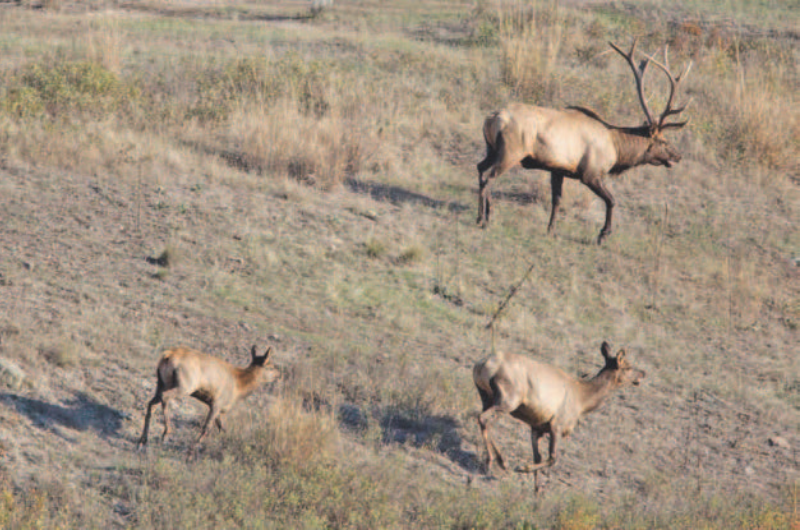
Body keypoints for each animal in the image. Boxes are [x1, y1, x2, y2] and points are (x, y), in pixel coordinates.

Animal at [134, 344, 278, 456]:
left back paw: (142, 440)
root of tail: (167, 356)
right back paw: (165, 433)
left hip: (161, 383)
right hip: (184, 386)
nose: (279, 374)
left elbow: (223, 428)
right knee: (165, 397)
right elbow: (206, 428)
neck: (240, 386)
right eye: (270, 366)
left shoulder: (218, 409)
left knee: (151, 404)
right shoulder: (216, 404)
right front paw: (191, 452)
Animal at [472, 340, 648, 488]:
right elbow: (552, 458)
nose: (643, 373)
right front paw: (523, 467)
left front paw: (537, 495)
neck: (582, 399)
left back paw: (494, 462)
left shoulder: (537, 428)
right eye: (627, 366)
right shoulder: (556, 425)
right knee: (484, 419)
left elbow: (538, 457)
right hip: (507, 400)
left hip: (486, 397)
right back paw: (499, 462)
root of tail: (483, 365)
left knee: (482, 418)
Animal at [476, 38, 692, 242]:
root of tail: (492, 118)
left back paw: (480, 217)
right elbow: (612, 200)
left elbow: (557, 200)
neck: (617, 149)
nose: (679, 155)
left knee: (479, 168)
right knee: (488, 178)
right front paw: (603, 234)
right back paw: (486, 219)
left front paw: (551, 230)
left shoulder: (558, 169)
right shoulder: (590, 173)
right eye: (663, 141)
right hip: (511, 152)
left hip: (491, 149)